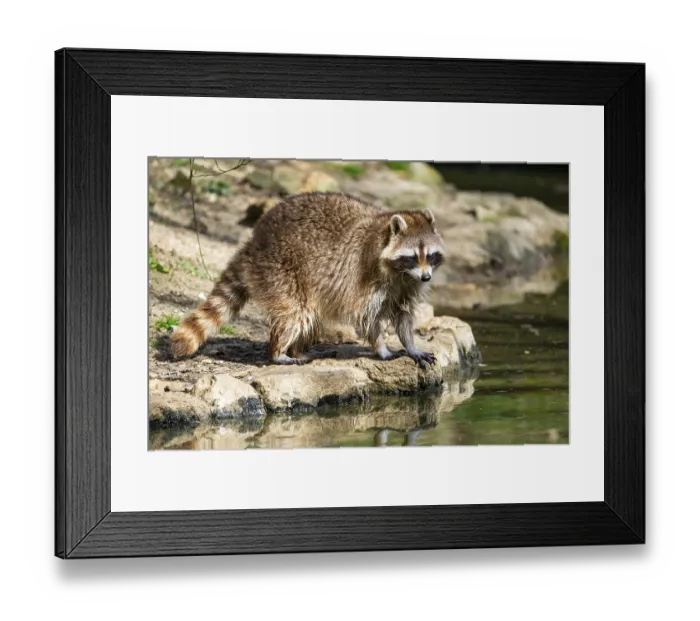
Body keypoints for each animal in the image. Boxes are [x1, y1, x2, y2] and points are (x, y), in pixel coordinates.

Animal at [170, 192, 446, 368]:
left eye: (430, 255)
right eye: (412, 257)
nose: (427, 277)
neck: (400, 272)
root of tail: (253, 241)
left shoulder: (406, 286)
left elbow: (403, 315)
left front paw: (410, 346)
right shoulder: (366, 279)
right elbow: (367, 319)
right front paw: (382, 348)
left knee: (310, 316)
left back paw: (297, 348)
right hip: (281, 269)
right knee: (295, 313)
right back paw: (278, 352)